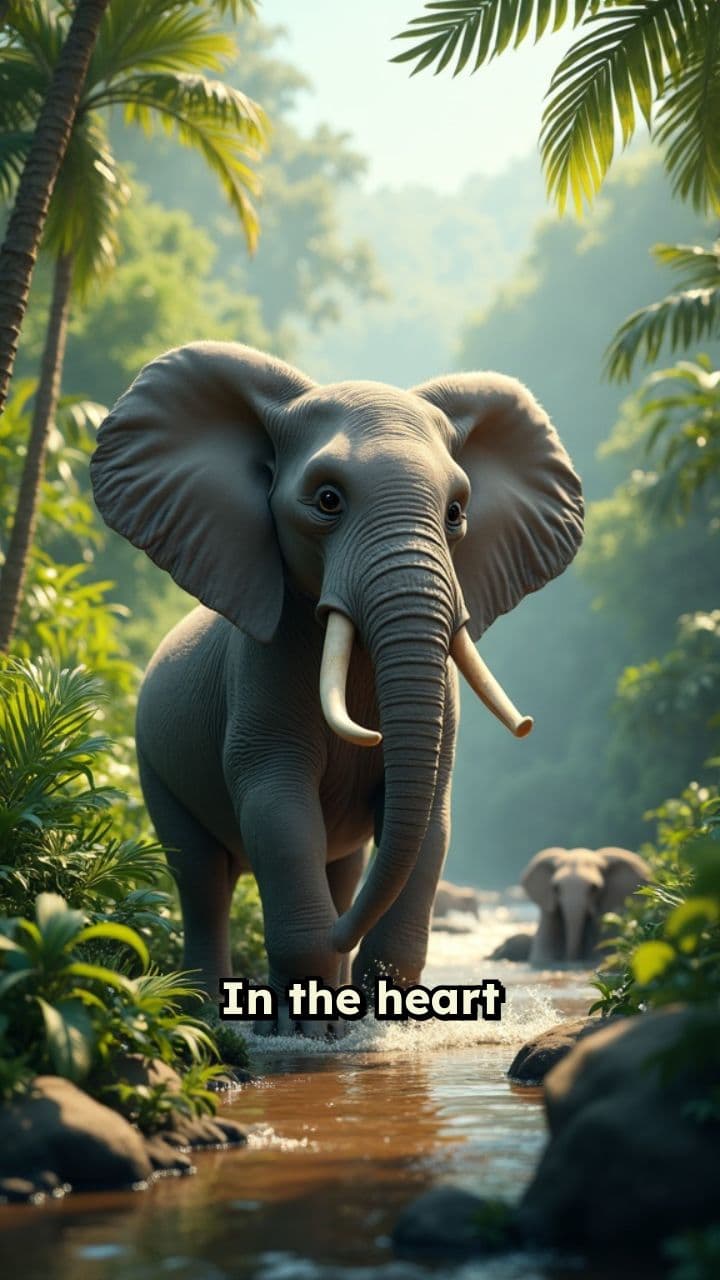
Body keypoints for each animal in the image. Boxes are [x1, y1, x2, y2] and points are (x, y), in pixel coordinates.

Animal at [90, 341, 583, 1034]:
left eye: (457, 513)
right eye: (327, 500)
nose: (529, 725)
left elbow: (430, 819)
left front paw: (390, 1028)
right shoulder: (263, 672)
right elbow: (277, 806)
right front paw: (304, 1030)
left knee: (340, 870)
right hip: (150, 759)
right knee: (201, 876)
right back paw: (208, 1013)